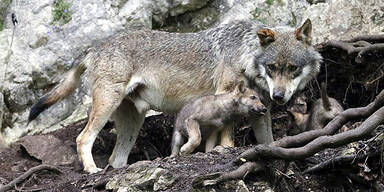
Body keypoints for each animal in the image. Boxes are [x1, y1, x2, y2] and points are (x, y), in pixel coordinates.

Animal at [28, 18, 320, 173]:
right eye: (272, 67)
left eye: (291, 68)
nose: (279, 96)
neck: (246, 53)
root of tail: (94, 47)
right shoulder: (224, 95)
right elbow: (226, 135)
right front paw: (225, 150)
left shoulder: (262, 111)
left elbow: (267, 140)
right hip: (106, 107)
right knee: (82, 138)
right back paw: (91, 170)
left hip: (132, 122)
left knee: (115, 159)